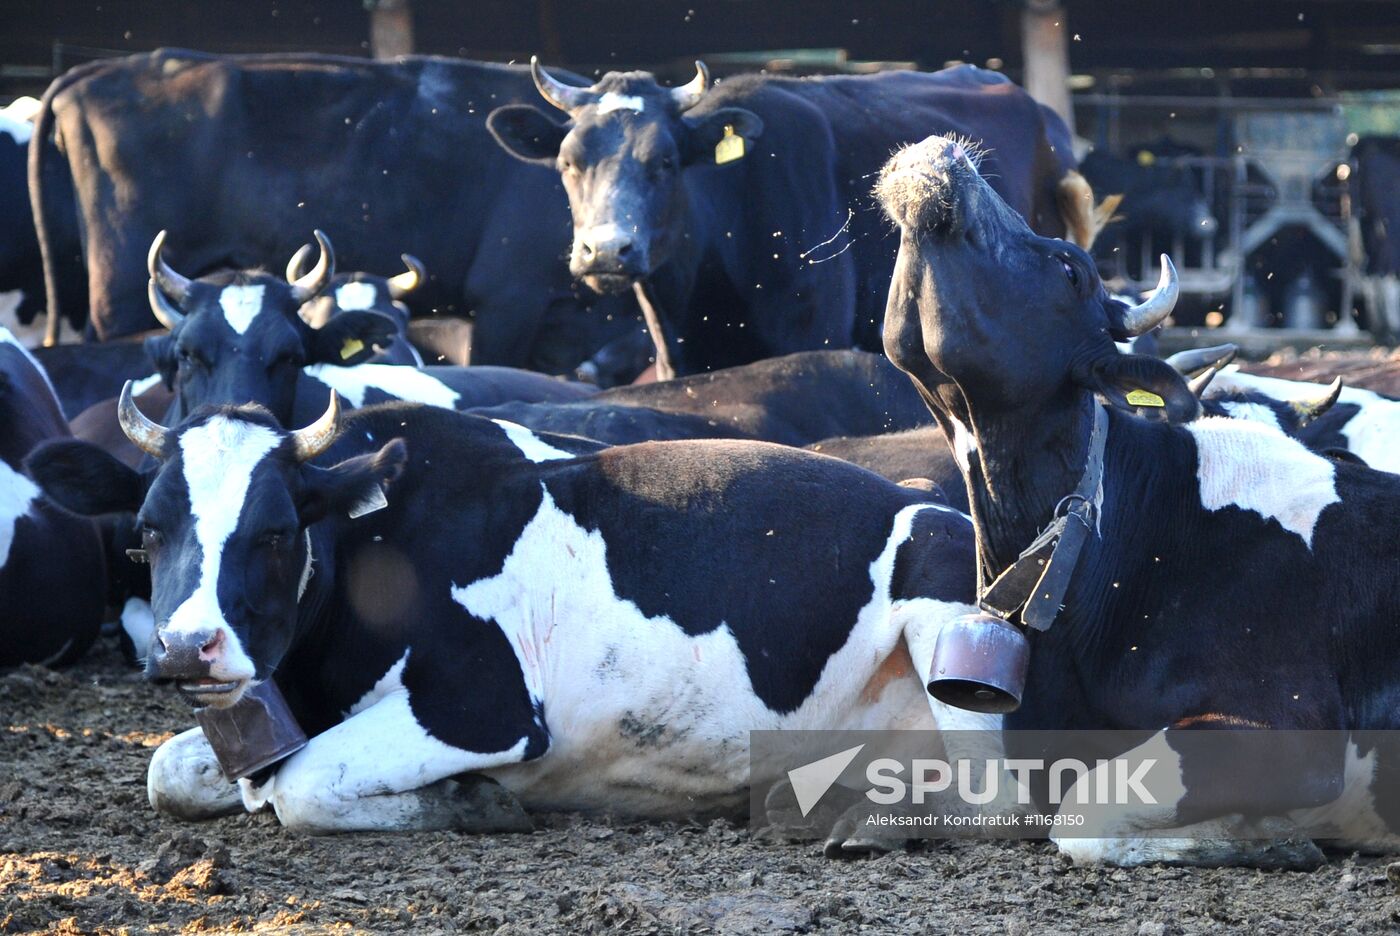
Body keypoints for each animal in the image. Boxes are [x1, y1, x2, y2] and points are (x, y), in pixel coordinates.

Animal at [24, 386, 985, 833]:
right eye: (147, 531)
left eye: (273, 531)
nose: (188, 647)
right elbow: (170, 771)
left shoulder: (485, 706)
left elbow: (302, 787)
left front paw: (468, 802)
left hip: (953, 624)